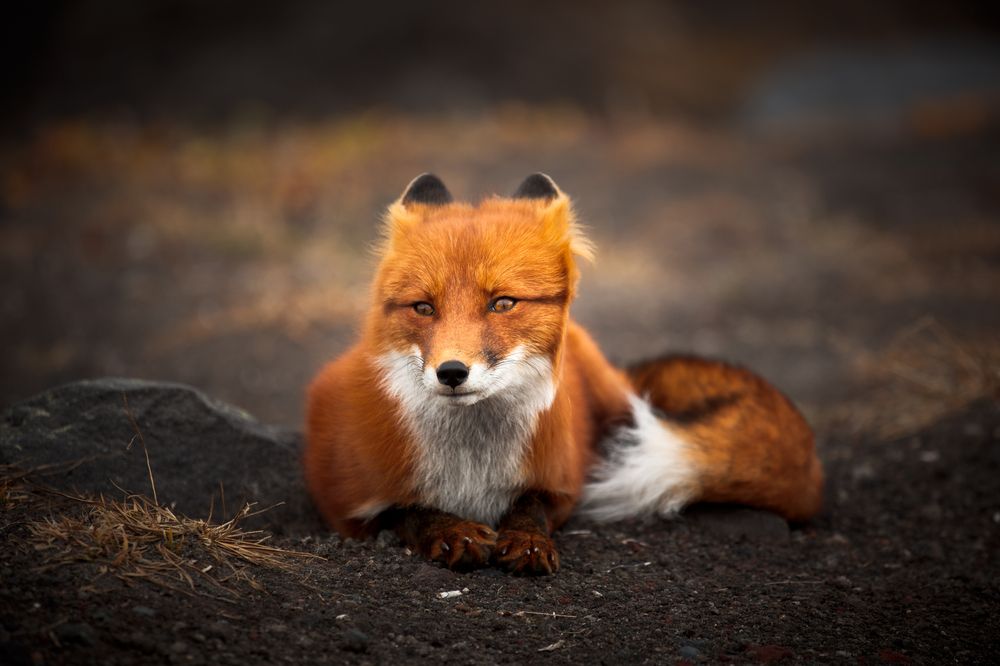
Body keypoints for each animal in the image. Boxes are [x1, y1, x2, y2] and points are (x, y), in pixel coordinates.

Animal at [304, 173, 823, 575]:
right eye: (423, 308)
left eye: (503, 303)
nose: (451, 372)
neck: (471, 468)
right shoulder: (347, 505)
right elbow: (408, 511)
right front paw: (451, 532)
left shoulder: (559, 482)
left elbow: (529, 507)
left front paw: (526, 540)